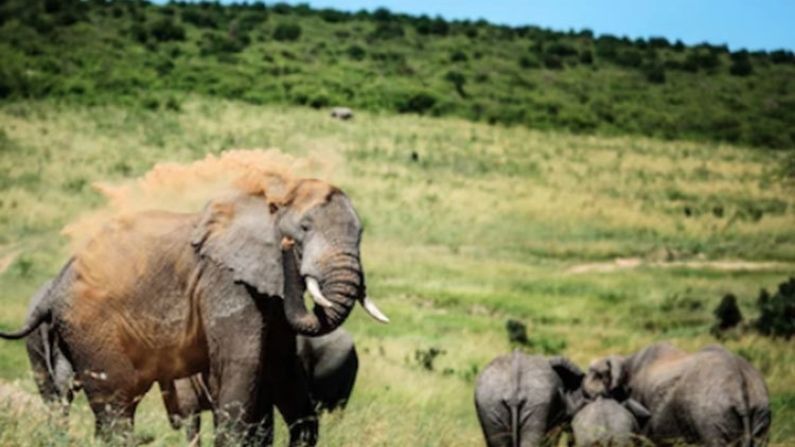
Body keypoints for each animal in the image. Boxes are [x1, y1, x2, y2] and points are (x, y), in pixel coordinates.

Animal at [0, 178, 388, 444]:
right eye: (304, 229)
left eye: (361, 234)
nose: (289, 247)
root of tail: (56, 286)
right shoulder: (226, 283)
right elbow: (242, 365)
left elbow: (282, 369)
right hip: (90, 325)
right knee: (115, 406)